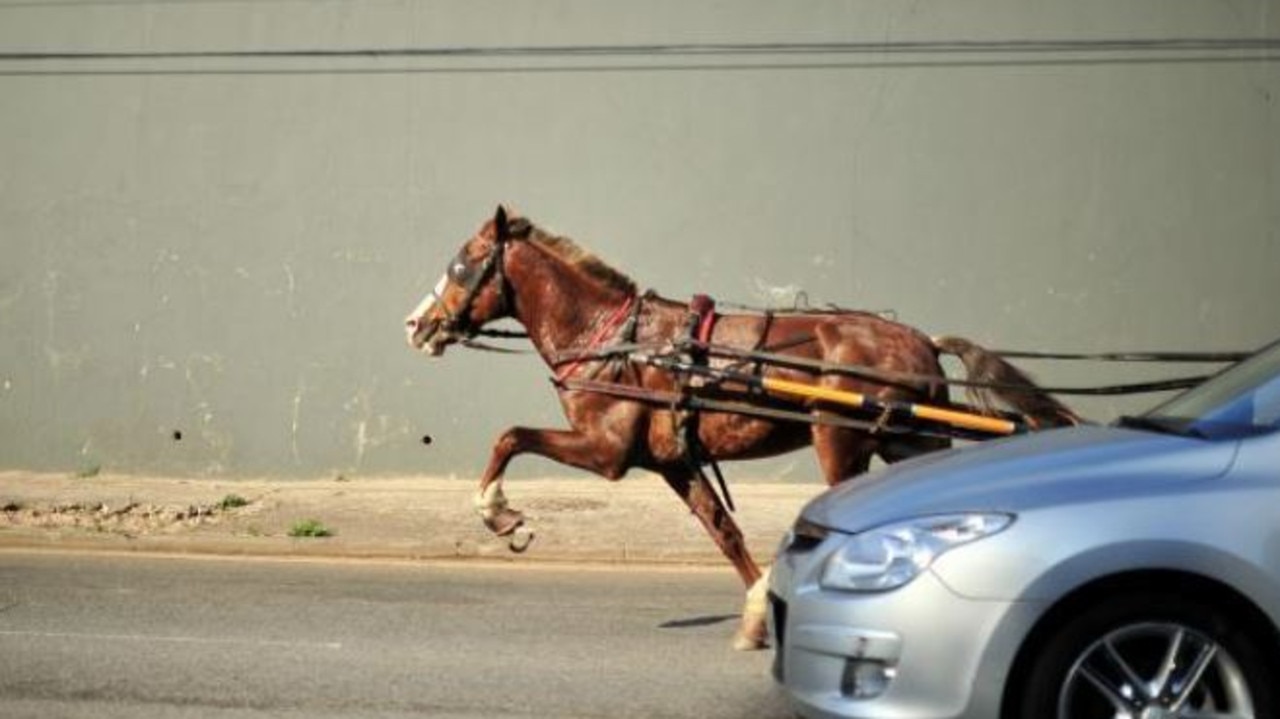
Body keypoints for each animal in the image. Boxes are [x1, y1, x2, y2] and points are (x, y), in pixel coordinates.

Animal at [404, 205, 1075, 649]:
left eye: (462, 266)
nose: (417, 324)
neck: (618, 342)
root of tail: (921, 341)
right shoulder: (674, 462)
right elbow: (721, 529)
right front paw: (755, 612)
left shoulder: (606, 451)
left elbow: (510, 436)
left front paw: (501, 515)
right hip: (909, 440)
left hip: (843, 441)